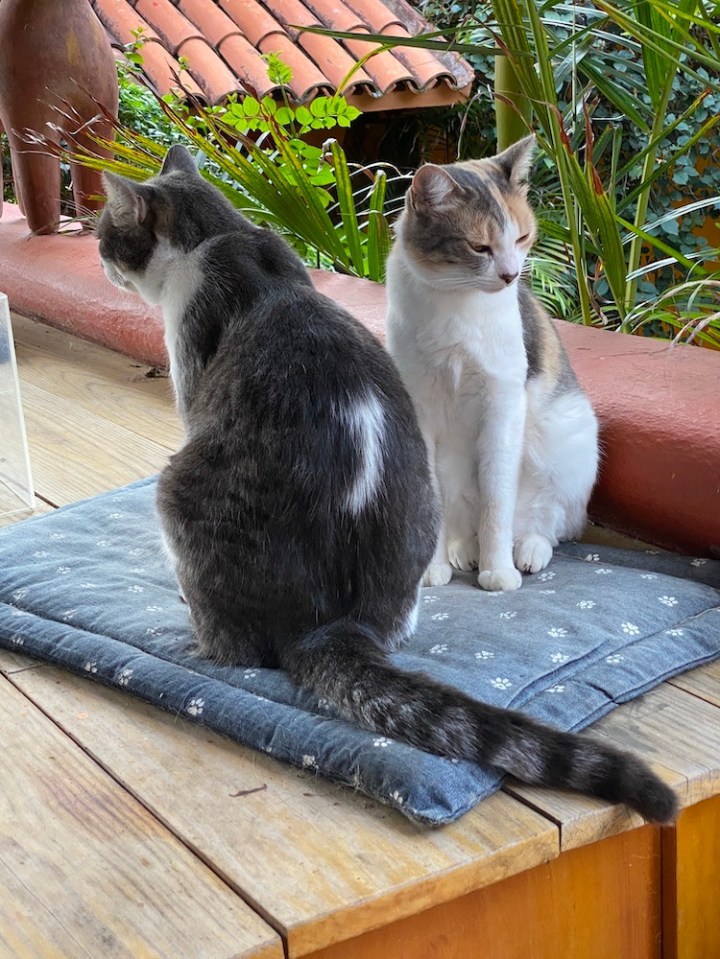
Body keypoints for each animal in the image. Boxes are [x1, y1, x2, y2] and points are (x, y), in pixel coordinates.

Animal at [386, 136, 599, 592]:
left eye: (522, 237)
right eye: (479, 247)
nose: (510, 275)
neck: (456, 303)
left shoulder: (502, 404)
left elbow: (497, 500)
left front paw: (497, 571)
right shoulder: (420, 408)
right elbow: (432, 497)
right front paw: (432, 570)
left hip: (567, 443)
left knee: (548, 519)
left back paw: (527, 550)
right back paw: (463, 549)